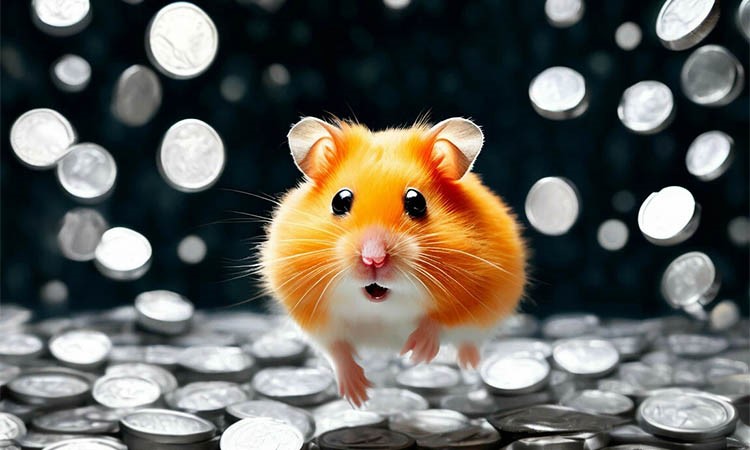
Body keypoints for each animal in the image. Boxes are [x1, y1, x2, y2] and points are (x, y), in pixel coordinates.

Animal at [261, 117, 526, 406]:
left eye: (416, 201)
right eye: (340, 200)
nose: (373, 258)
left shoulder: (479, 294)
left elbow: (440, 321)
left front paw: (417, 353)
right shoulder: (312, 314)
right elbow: (336, 349)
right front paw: (358, 397)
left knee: (470, 342)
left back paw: (469, 364)